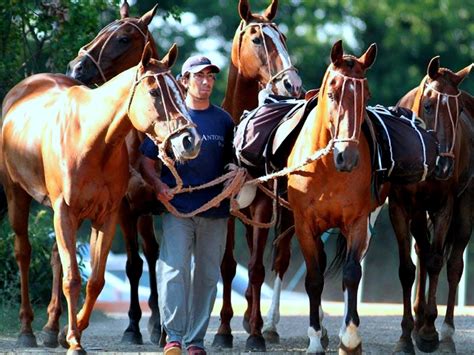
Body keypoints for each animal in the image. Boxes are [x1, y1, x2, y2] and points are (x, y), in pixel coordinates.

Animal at [0, 43, 202, 354]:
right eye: (154, 92)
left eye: (180, 90)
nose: (189, 141)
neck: (91, 140)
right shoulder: (66, 213)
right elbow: (73, 278)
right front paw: (74, 340)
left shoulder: (106, 216)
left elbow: (95, 280)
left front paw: (74, 330)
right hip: (17, 196)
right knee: (23, 253)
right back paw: (27, 330)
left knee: (56, 257)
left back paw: (52, 329)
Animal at [65, 1, 165, 346]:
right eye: (100, 30)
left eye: (123, 38)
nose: (76, 68)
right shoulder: (124, 209)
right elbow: (134, 265)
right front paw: (132, 326)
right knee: (148, 254)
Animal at [214, 0, 302, 350]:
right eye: (256, 39)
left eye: (284, 38)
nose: (292, 85)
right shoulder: (226, 208)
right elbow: (227, 266)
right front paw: (223, 330)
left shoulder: (265, 207)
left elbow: (255, 268)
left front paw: (254, 334)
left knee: (280, 259)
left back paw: (272, 325)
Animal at [286, 40, 382, 354]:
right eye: (332, 93)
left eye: (367, 95)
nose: (347, 157)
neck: (326, 167)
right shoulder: (304, 226)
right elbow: (314, 279)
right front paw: (315, 339)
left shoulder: (357, 222)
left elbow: (351, 274)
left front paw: (350, 339)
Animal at [386, 57, 472, 354]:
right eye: (428, 105)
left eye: (458, 110)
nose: (444, 164)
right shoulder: (400, 207)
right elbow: (407, 268)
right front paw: (405, 336)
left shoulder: (444, 205)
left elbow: (436, 262)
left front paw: (428, 332)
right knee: (421, 251)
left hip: (465, 207)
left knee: (454, 264)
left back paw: (446, 333)